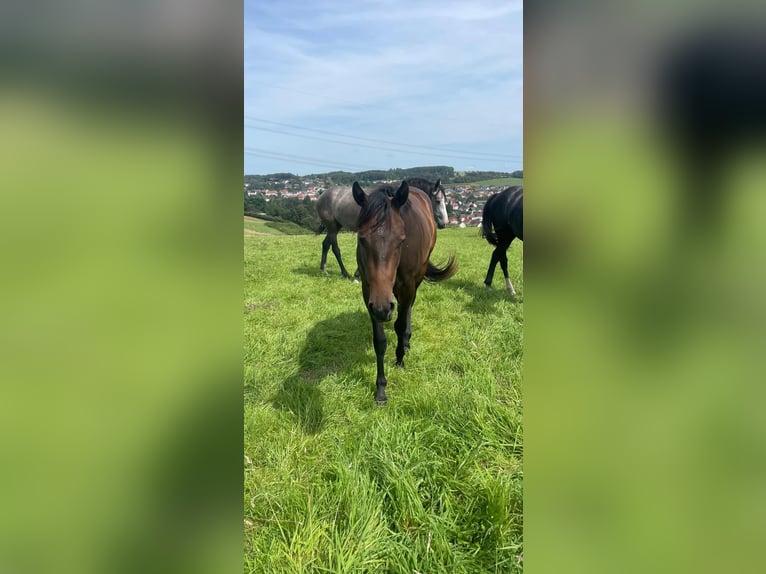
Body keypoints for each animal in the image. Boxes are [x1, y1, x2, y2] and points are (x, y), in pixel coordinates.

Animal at [316, 179, 450, 280]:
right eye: (438, 201)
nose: (445, 223)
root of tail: (321, 196)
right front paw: (358, 274)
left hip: (335, 226)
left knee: (325, 244)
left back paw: (323, 269)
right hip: (332, 227)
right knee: (335, 249)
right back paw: (344, 273)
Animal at [352, 180, 460, 404]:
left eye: (401, 239)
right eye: (361, 239)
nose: (383, 308)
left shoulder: (407, 286)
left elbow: (400, 325)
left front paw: (400, 359)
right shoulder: (369, 293)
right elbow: (379, 341)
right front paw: (381, 390)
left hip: (415, 282)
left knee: (409, 308)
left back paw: (406, 342)